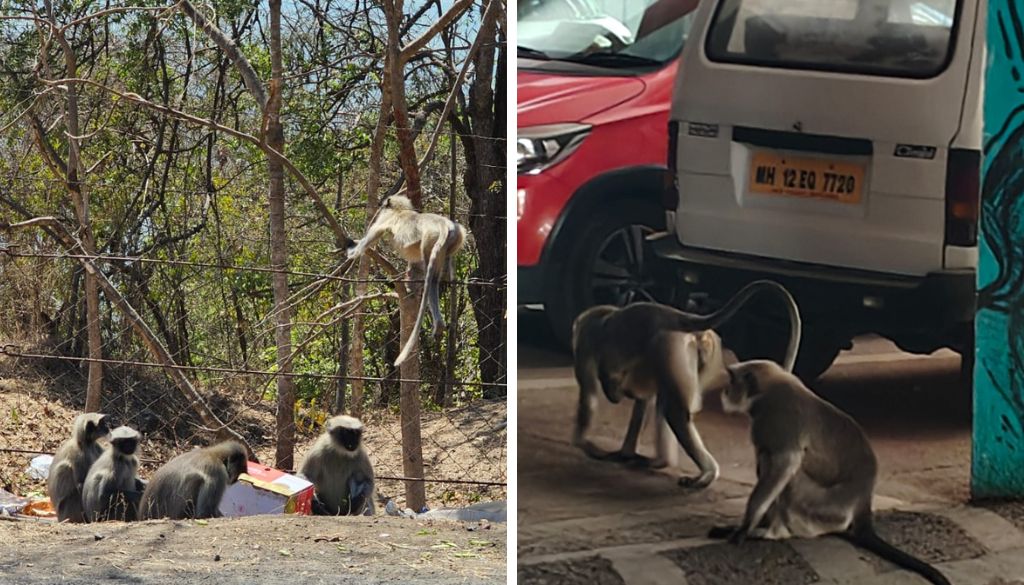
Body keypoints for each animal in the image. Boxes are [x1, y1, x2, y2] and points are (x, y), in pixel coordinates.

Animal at [346, 194, 466, 366]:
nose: (381, 206)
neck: (400, 210)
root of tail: (445, 225)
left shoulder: (385, 218)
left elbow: (373, 235)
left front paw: (351, 250)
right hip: (454, 239)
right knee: (438, 273)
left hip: (430, 239)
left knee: (430, 277)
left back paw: (438, 321)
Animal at [571, 279, 800, 489]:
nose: (616, 393)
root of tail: (678, 316)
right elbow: (644, 399)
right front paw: (623, 453)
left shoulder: (587, 343)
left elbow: (590, 398)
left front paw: (586, 445)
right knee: (666, 402)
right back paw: (661, 461)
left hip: (670, 346)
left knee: (674, 410)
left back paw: (707, 473)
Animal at [709, 359, 951, 585]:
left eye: (732, 381)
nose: (725, 391)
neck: (768, 391)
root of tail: (862, 504)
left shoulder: (779, 419)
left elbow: (785, 465)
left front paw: (745, 529)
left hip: (822, 508)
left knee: (790, 473)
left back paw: (773, 533)